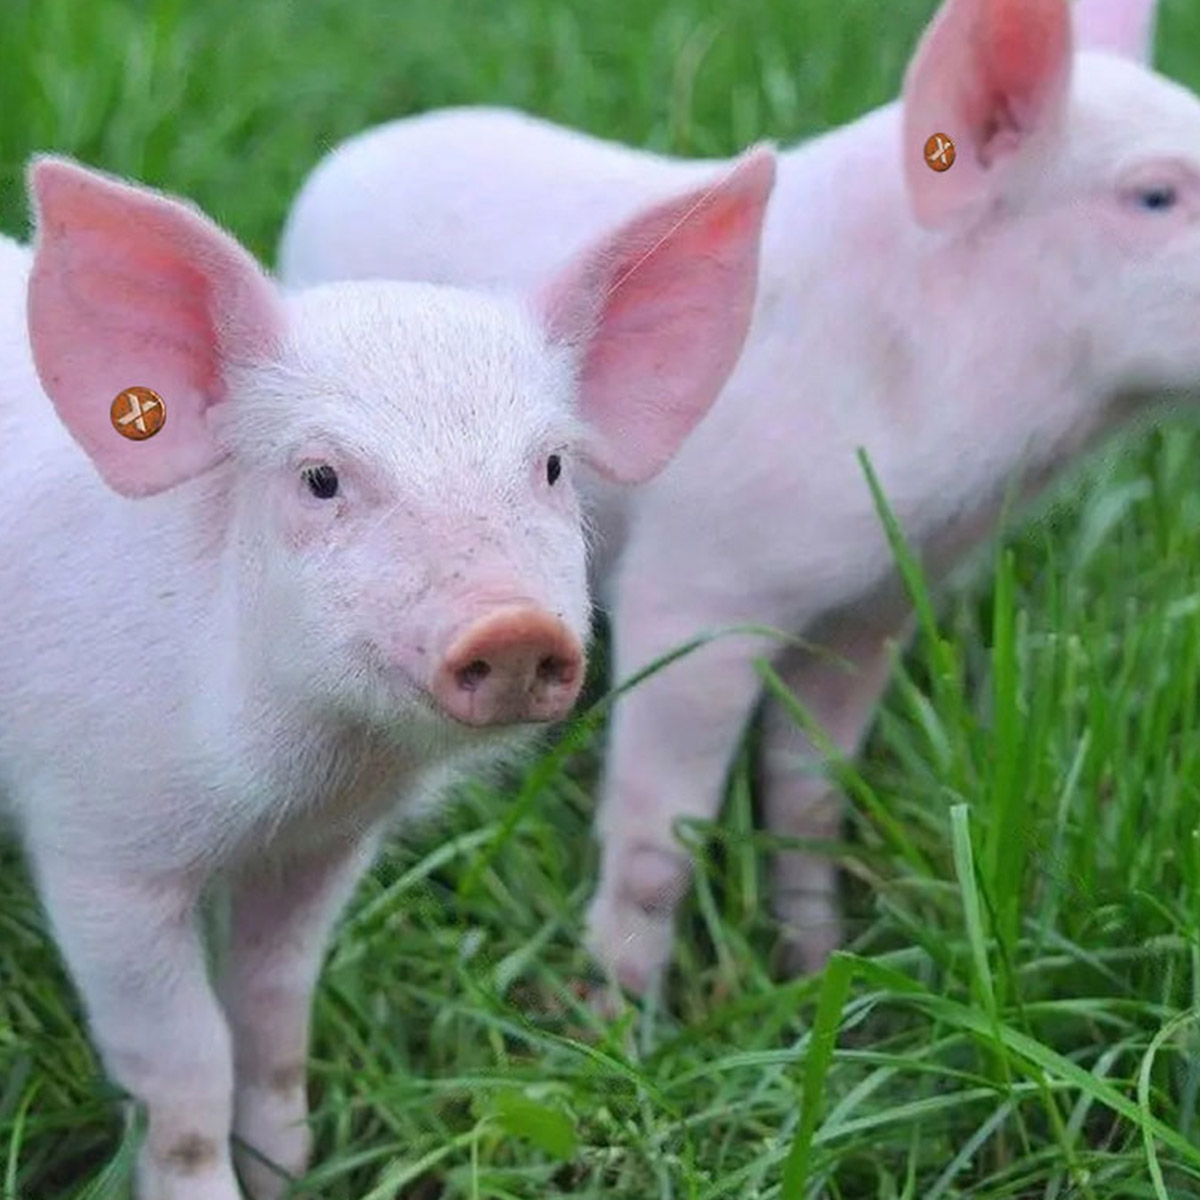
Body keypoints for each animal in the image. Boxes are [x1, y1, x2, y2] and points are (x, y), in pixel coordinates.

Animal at [0, 146, 773, 1200]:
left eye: (553, 466)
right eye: (321, 477)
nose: (514, 623)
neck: (303, 777)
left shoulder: (324, 848)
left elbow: (275, 999)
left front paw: (289, 1171)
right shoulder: (98, 852)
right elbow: (184, 1066)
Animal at [278, 0, 1200, 999]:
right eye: (1154, 196)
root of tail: (347, 157)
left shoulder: (871, 606)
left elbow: (812, 799)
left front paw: (817, 970)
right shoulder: (698, 584)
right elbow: (657, 838)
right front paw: (616, 1018)